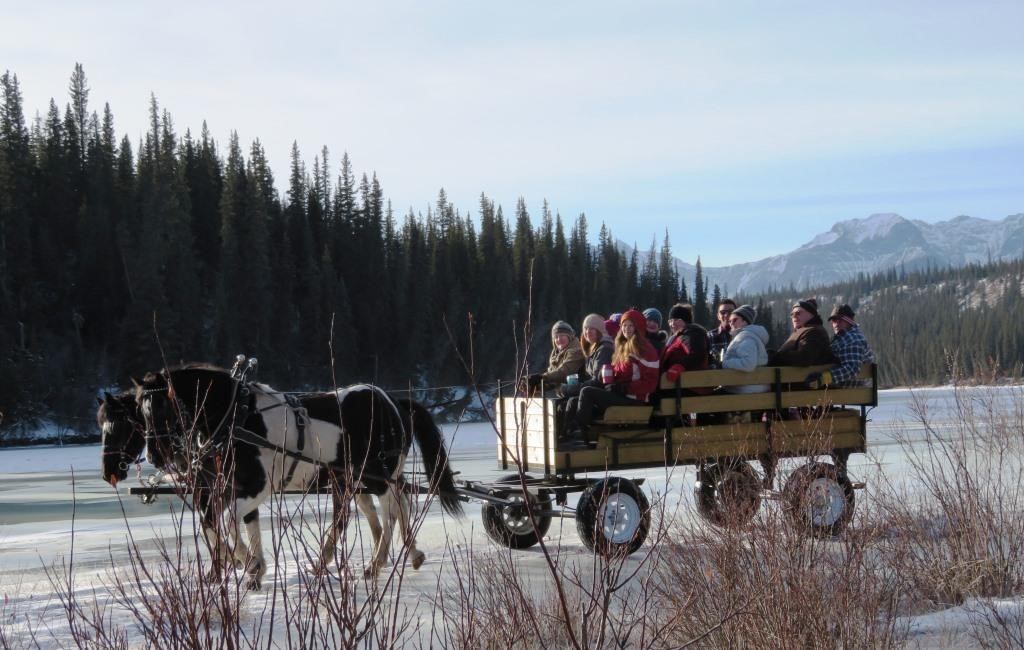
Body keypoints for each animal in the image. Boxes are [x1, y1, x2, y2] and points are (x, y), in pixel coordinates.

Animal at [132, 364, 463, 589]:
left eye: (161, 407)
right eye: (141, 410)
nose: (153, 456)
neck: (240, 418)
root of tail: (393, 403)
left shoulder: (258, 486)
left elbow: (225, 523)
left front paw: (247, 563)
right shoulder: (231, 488)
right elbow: (218, 523)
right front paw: (252, 567)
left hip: (376, 475)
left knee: (390, 511)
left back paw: (376, 562)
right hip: (355, 479)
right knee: (386, 508)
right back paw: (402, 554)